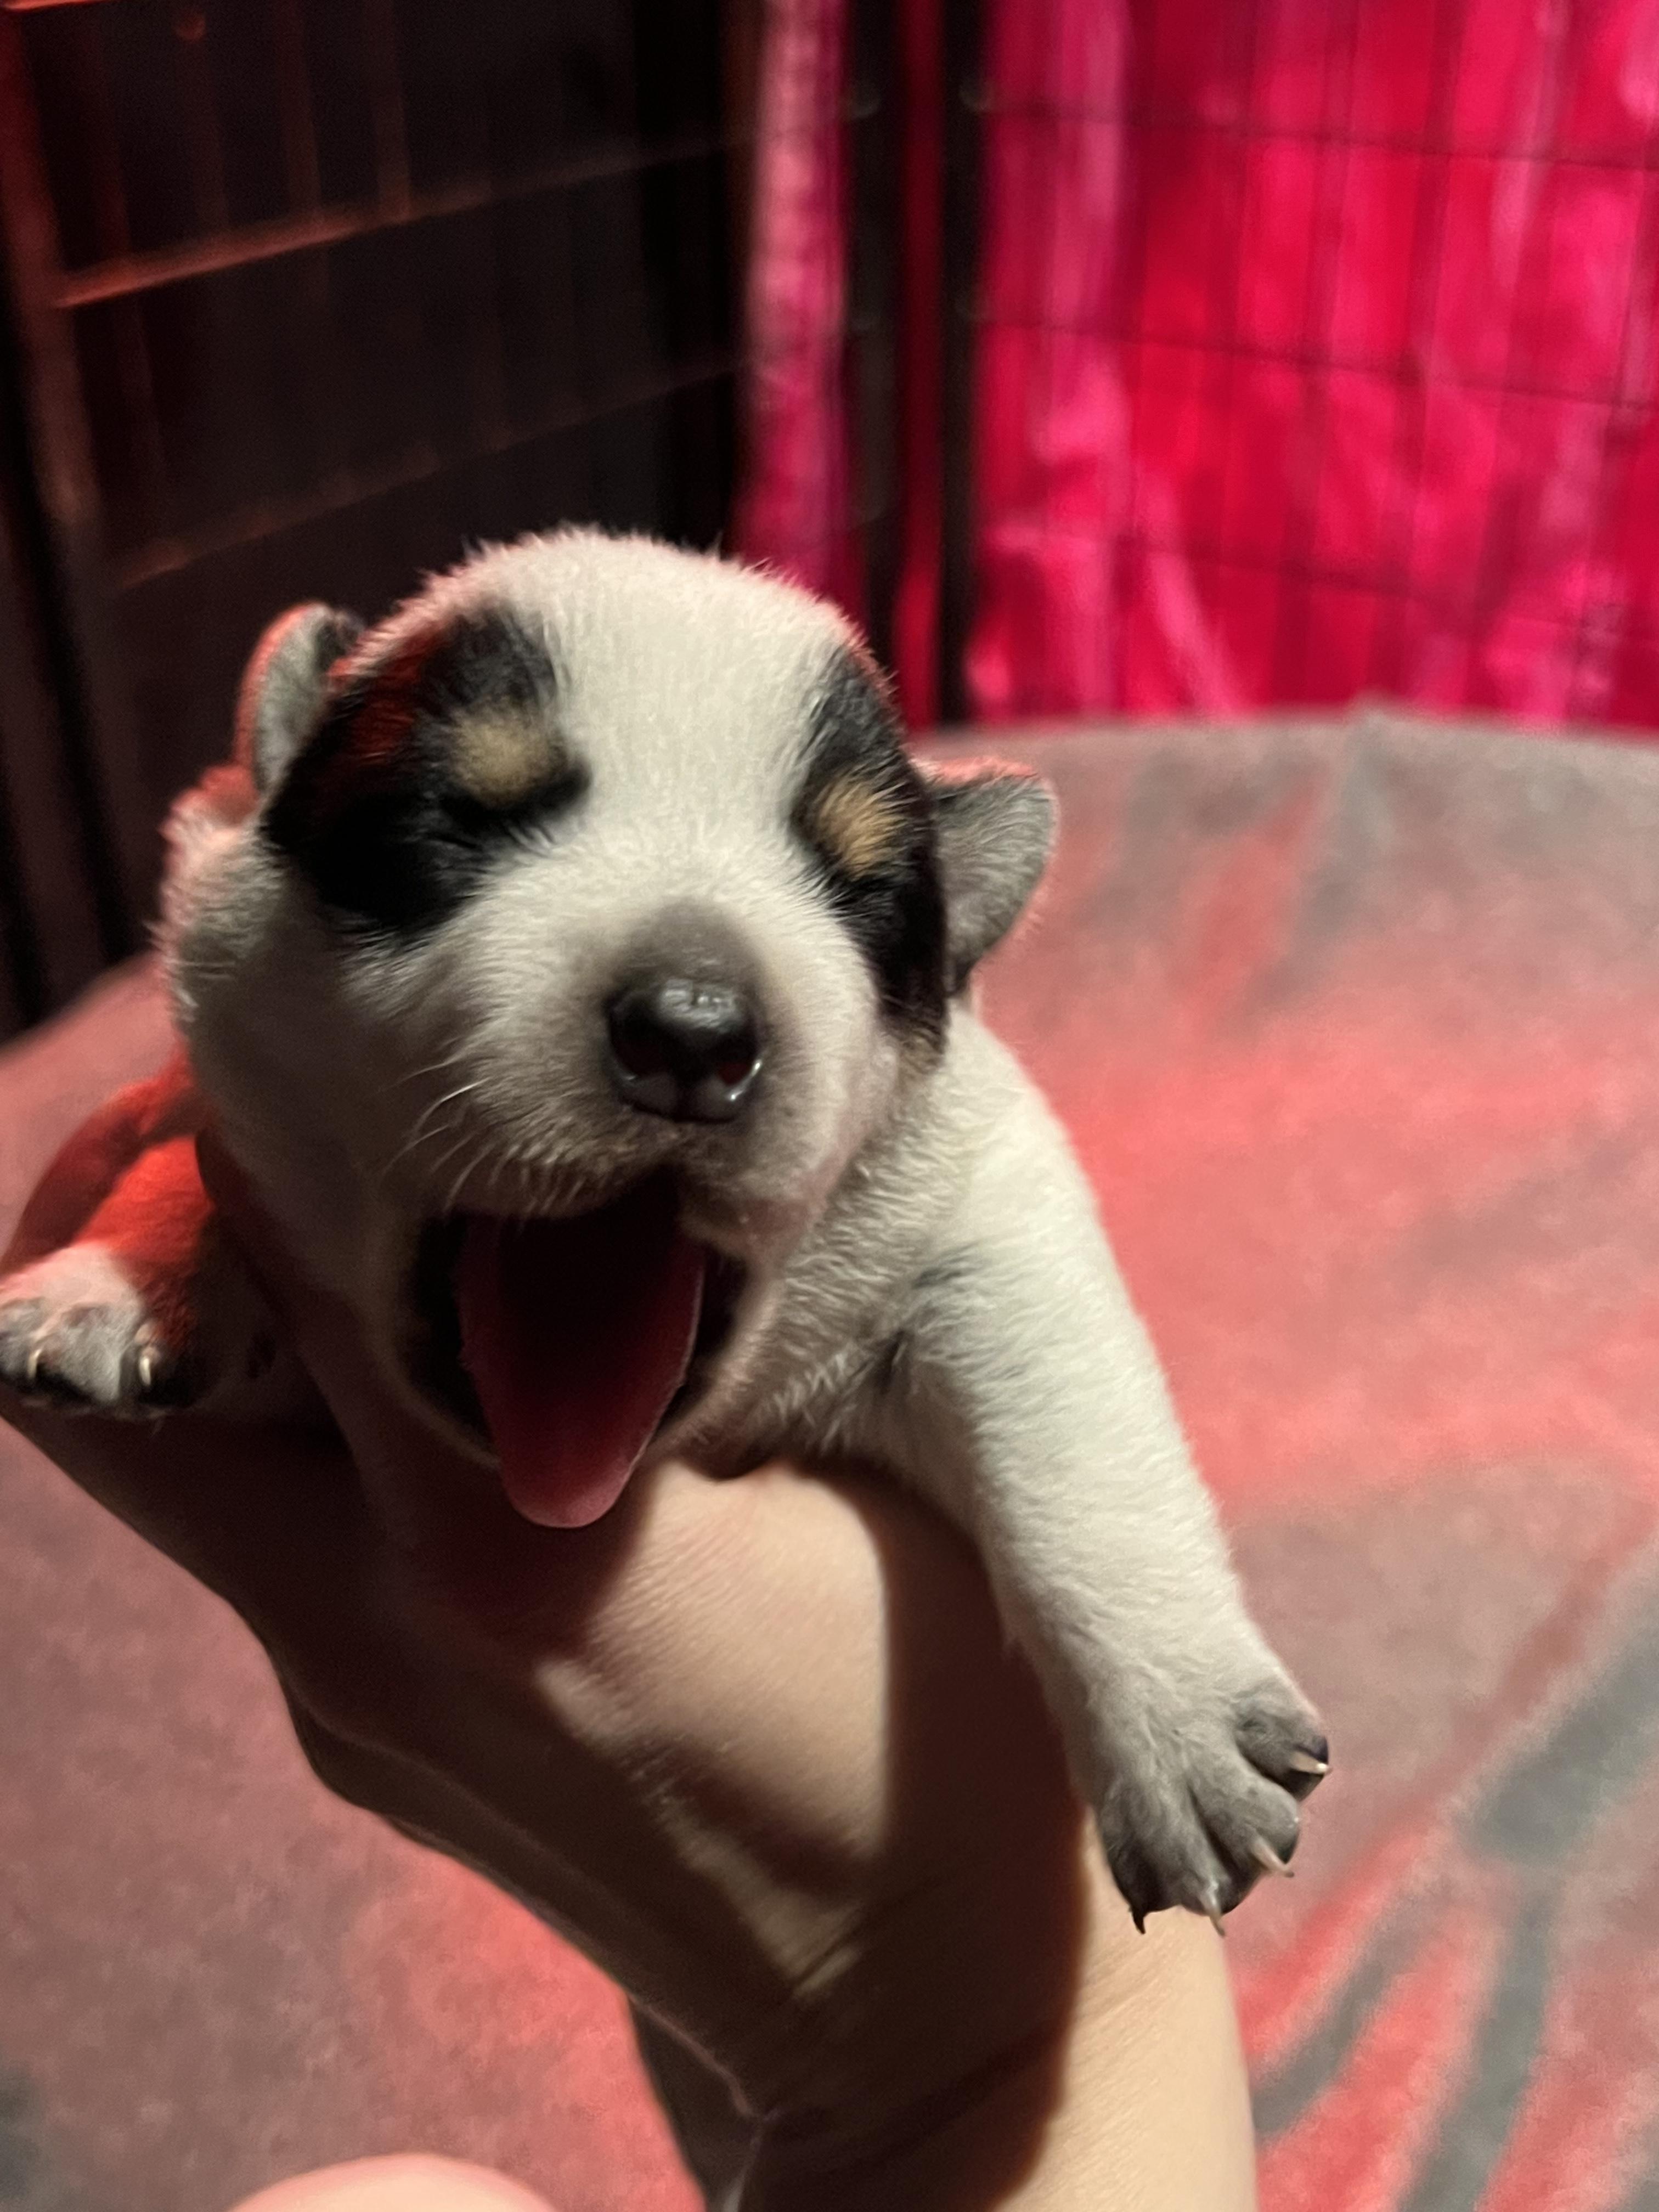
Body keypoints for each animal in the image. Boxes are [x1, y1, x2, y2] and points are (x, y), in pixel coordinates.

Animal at [0, 531, 1325, 1928]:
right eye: (447, 825)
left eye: (862, 895)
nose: (694, 1030)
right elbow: (197, 1138)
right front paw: (117, 1279)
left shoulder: (989, 1200)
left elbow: (1064, 1427)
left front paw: (1180, 1727)